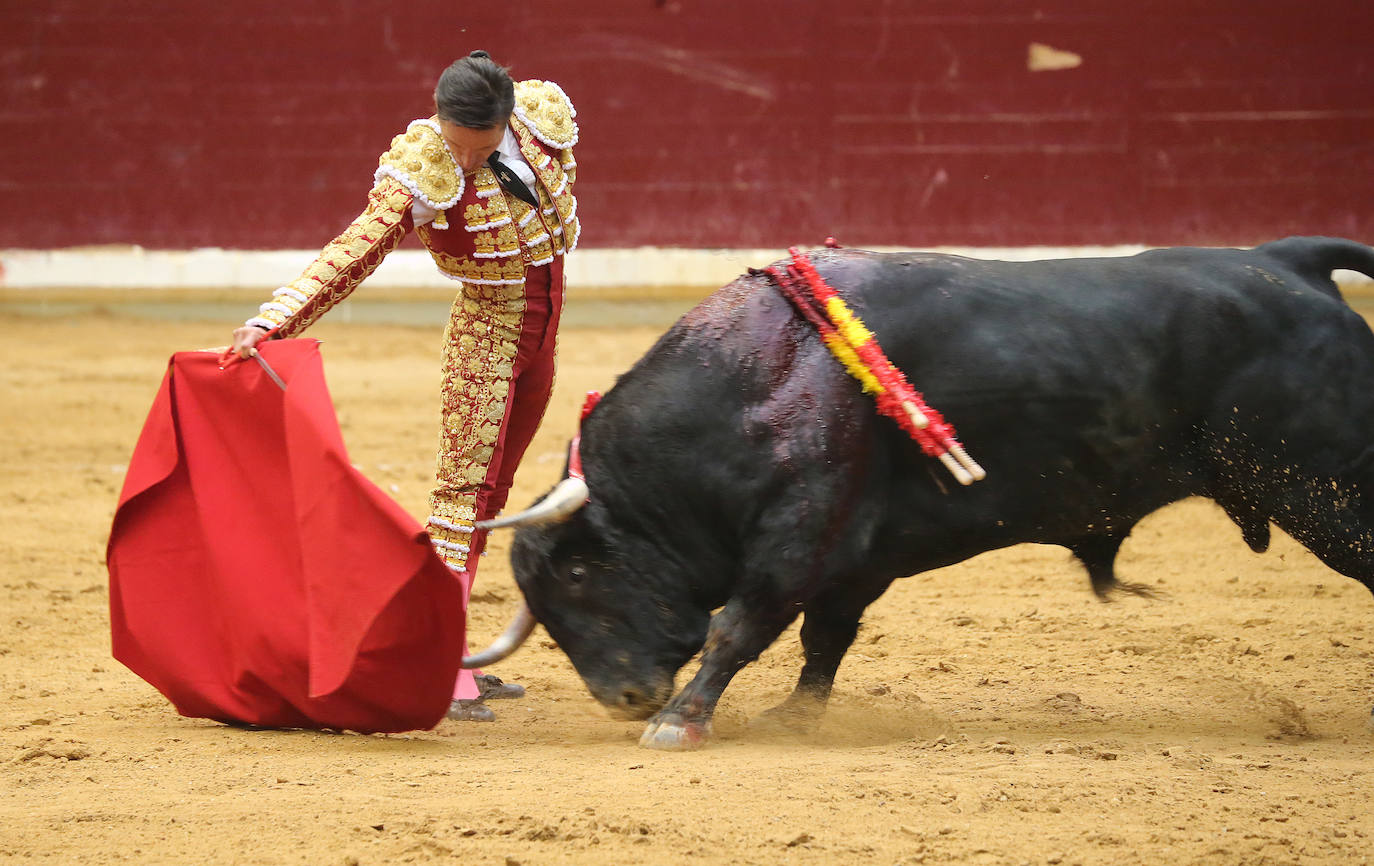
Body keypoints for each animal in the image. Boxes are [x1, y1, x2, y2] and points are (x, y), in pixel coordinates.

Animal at [467, 237, 1374, 753]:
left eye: (577, 574)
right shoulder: (853, 556)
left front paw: (680, 722)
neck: (759, 374)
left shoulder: (798, 535)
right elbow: (824, 640)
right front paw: (794, 719)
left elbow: (741, 627)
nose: (623, 700)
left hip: (1328, 492)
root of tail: (1290, 261)